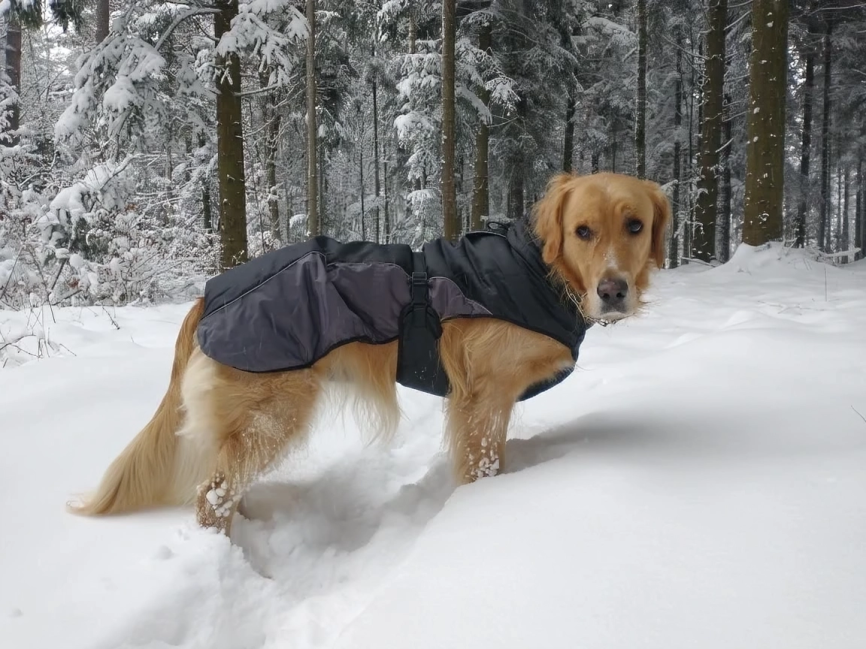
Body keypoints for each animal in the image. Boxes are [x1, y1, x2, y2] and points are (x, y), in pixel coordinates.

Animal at [71, 171, 672, 532]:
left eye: (635, 225)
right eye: (583, 231)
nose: (614, 291)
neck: (537, 271)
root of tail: (211, 292)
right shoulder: (484, 397)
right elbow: (482, 465)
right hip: (274, 414)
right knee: (210, 495)